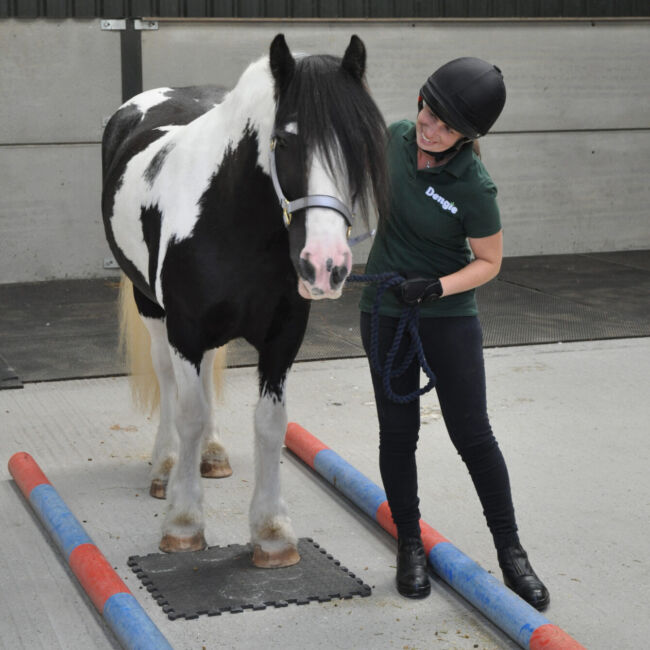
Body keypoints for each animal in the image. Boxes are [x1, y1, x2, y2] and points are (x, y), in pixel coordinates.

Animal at [101, 34, 388, 567]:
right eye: (286, 140)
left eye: (359, 142)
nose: (327, 264)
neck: (231, 221)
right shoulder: (185, 329)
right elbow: (189, 413)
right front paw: (184, 522)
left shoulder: (283, 336)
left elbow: (270, 423)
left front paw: (272, 532)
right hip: (152, 309)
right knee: (168, 380)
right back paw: (166, 466)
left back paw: (211, 455)